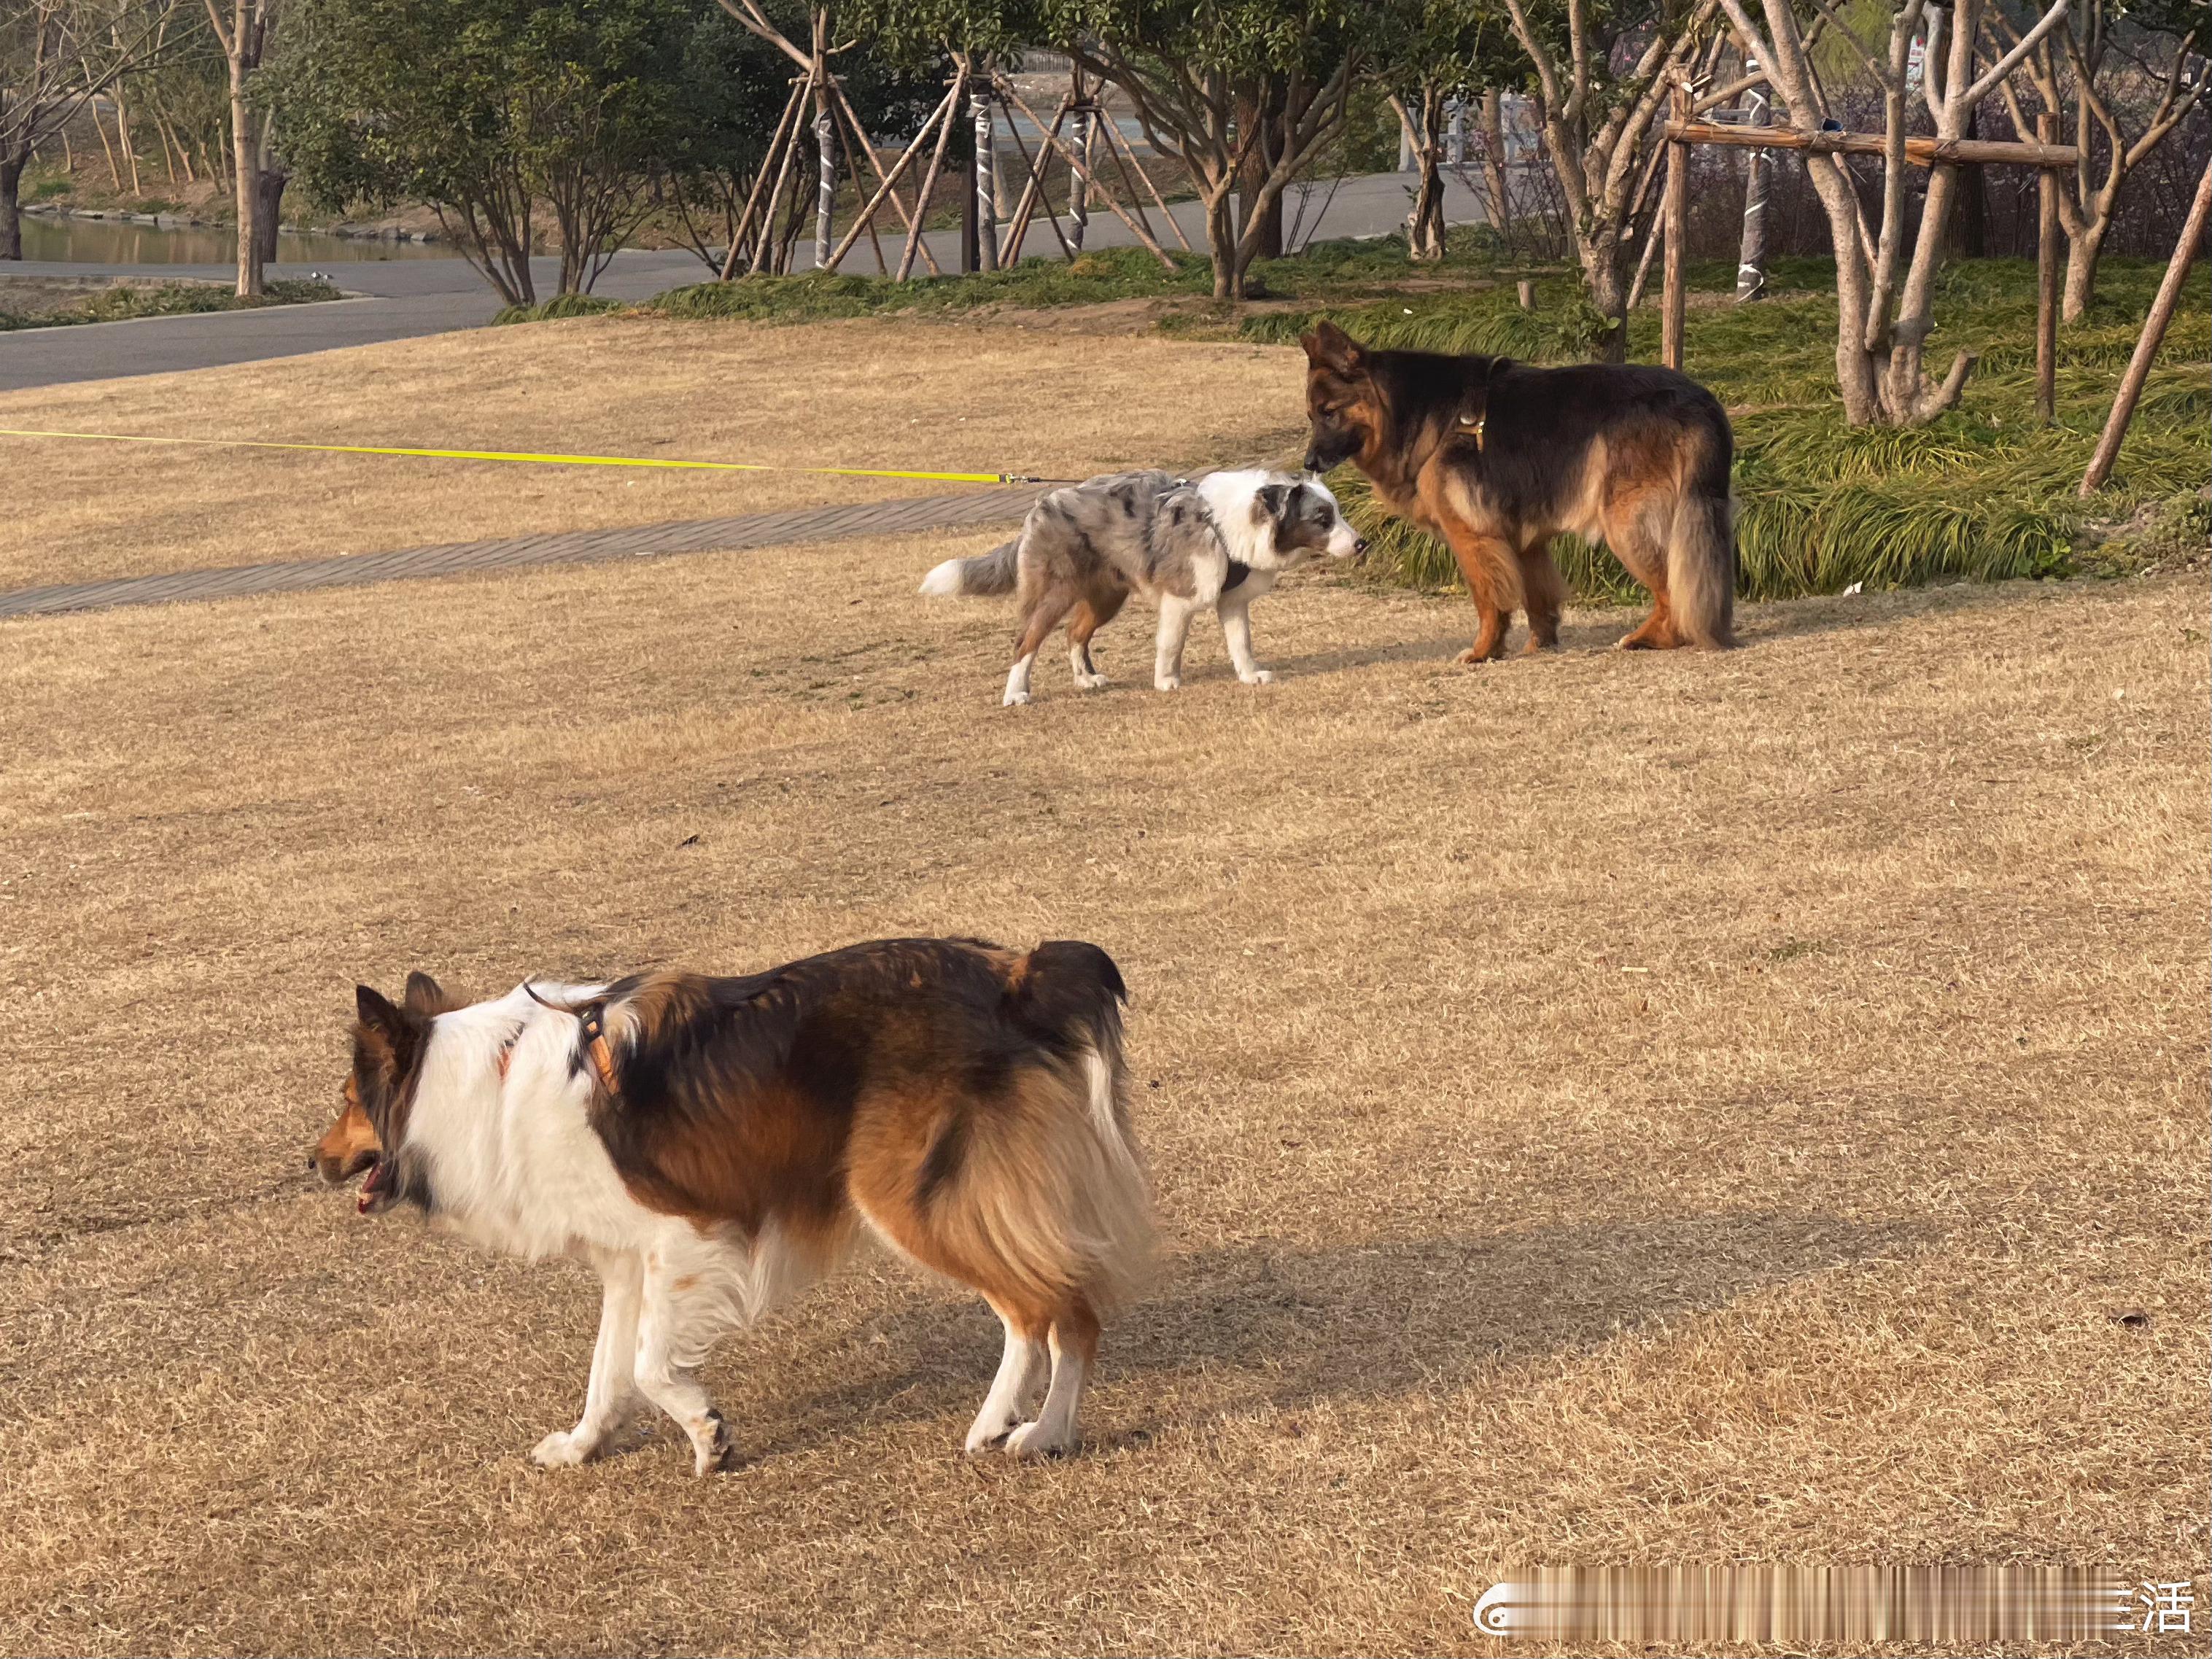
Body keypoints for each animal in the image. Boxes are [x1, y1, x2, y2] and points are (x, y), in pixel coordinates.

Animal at [311, 942, 1159, 1477]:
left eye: (348, 1099)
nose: (310, 1161)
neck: (485, 1079)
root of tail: (1019, 976)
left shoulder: (685, 1237)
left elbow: (649, 1364)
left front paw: (708, 1436)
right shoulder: (627, 1259)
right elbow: (606, 1372)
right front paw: (582, 1447)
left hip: (912, 1195)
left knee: (1045, 1309)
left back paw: (1016, 1426)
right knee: (1061, 1309)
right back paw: (1032, 1429)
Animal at [1300, 320, 1734, 658]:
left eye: (1329, 413)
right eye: (1311, 416)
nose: (1308, 464)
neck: (1425, 415)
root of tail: (1700, 401)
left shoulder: (1472, 536)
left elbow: (1488, 600)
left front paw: (1483, 652)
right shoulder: (1524, 540)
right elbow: (1536, 598)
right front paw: (1540, 645)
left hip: (1627, 525)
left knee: (1672, 587)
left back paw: (1651, 638)